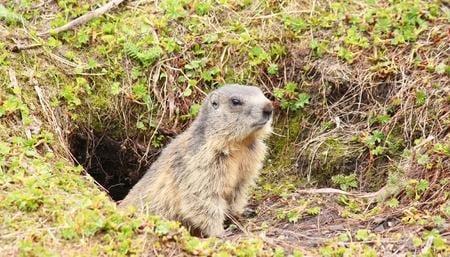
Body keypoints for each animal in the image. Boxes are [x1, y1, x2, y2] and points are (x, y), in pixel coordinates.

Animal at [119, 84, 272, 236]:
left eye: (260, 92)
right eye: (235, 101)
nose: (269, 107)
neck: (240, 143)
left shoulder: (250, 159)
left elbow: (239, 190)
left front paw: (242, 212)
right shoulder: (202, 161)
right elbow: (203, 196)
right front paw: (220, 232)